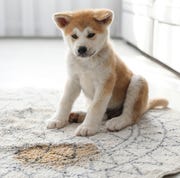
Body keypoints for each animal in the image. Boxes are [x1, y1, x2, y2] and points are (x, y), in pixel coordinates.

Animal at [46, 8, 169, 136]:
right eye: (74, 36)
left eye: (91, 35)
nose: (81, 49)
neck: (86, 63)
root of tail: (145, 106)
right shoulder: (73, 80)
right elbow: (64, 101)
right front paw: (58, 119)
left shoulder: (105, 83)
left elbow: (96, 107)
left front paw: (87, 127)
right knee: (104, 115)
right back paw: (79, 115)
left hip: (138, 81)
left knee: (131, 116)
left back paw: (117, 121)